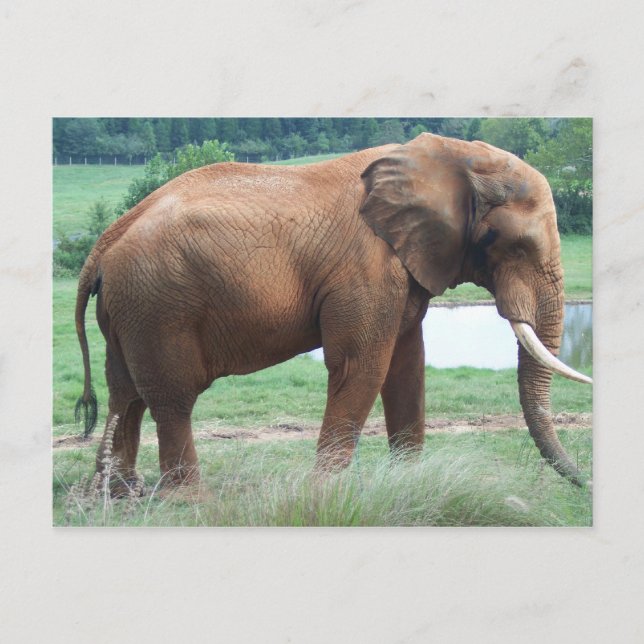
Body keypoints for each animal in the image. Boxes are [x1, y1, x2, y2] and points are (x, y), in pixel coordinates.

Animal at [75, 133, 591, 492]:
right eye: (513, 245)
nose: (584, 483)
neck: (452, 155)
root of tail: (104, 242)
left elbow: (407, 366)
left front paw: (410, 484)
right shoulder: (367, 268)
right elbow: (361, 366)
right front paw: (326, 494)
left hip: (131, 309)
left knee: (125, 395)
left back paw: (119, 494)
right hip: (159, 305)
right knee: (172, 399)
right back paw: (187, 501)